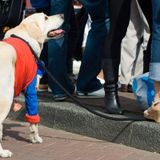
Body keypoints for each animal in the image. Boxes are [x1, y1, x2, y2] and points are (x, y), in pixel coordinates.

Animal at [0, 12, 64, 158]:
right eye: (45, 18)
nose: (63, 15)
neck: (25, 37)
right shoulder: (31, 89)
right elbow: (34, 120)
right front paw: (36, 138)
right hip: (6, 99)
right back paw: (3, 152)